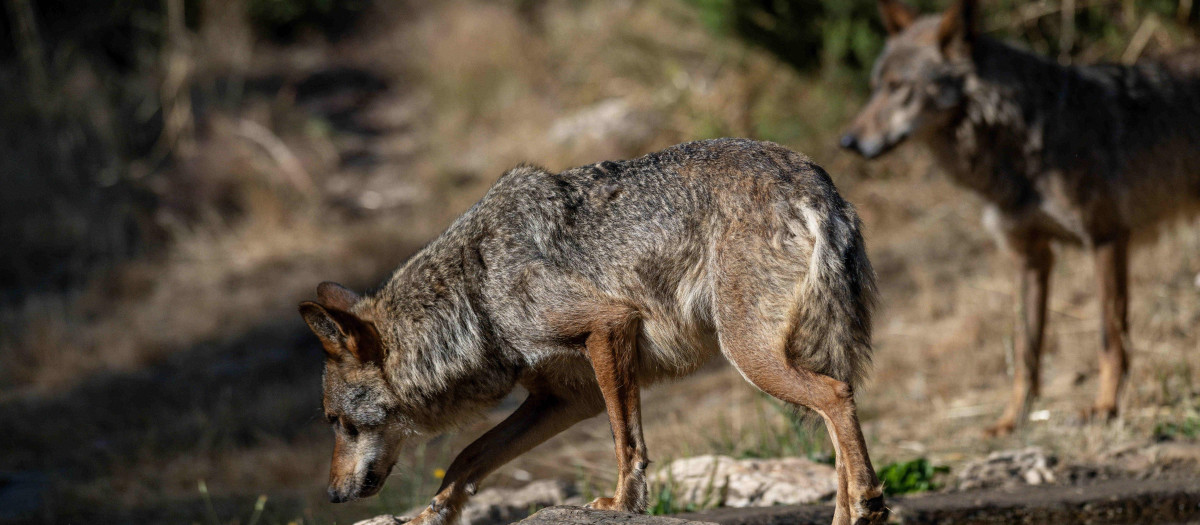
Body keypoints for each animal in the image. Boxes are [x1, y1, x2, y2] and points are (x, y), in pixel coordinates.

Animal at [298, 138, 889, 524]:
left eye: (339, 423)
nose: (330, 497)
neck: (475, 295)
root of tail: (815, 181)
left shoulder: (609, 328)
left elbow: (627, 442)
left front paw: (625, 506)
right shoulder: (562, 399)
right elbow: (468, 457)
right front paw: (433, 514)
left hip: (750, 355)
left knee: (837, 397)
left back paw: (867, 502)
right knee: (835, 420)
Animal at [841, 0, 1200, 435]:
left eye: (898, 87)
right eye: (876, 86)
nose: (848, 142)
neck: (1028, 137)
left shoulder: (1106, 240)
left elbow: (1109, 337)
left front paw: (1105, 407)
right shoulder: (1031, 259)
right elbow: (1025, 352)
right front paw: (1011, 420)